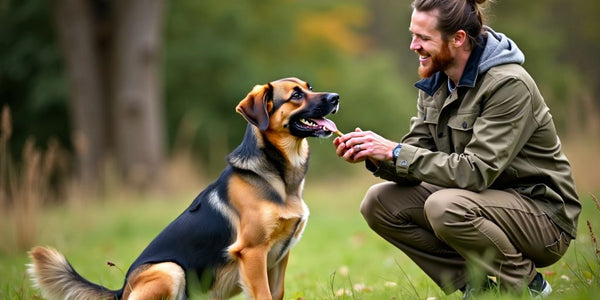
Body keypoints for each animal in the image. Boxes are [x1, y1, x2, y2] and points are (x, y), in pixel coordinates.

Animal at [28, 78, 340, 300]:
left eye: (310, 87)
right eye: (296, 95)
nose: (336, 97)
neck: (278, 176)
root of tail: (121, 290)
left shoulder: (279, 257)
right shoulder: (252, 253)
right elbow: (262, 294)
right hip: (171, 269)